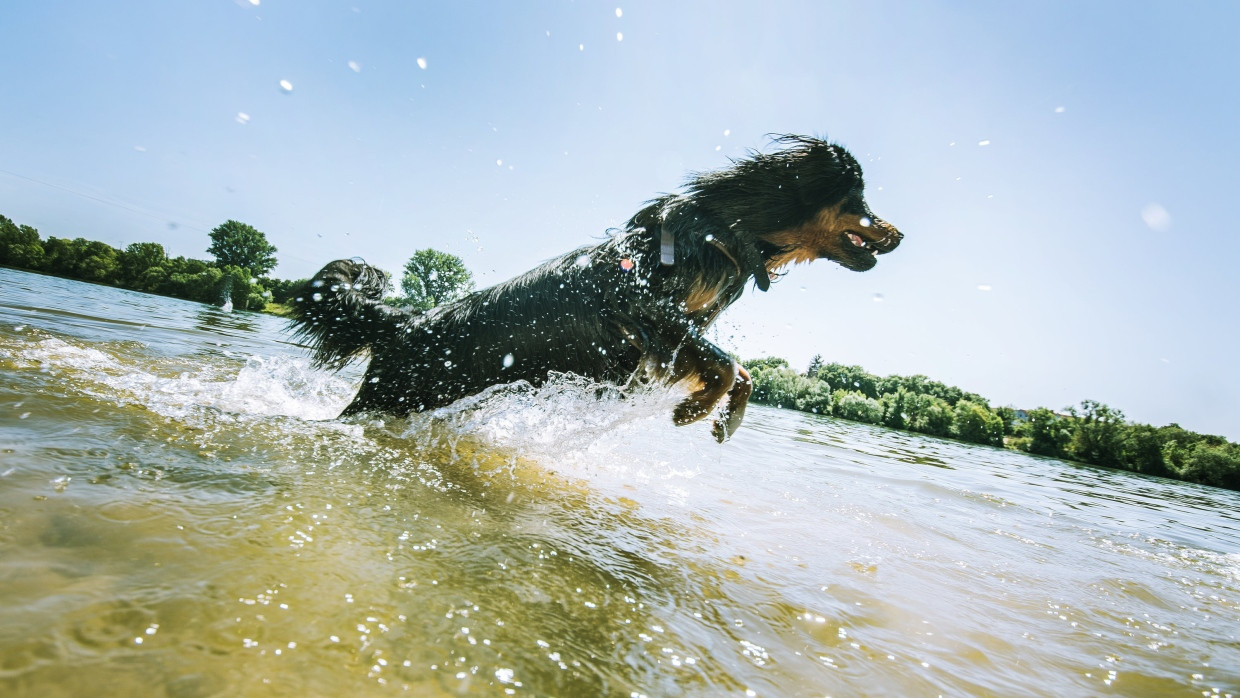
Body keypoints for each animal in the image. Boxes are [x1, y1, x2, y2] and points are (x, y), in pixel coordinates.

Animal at [295, 135, 907, 441]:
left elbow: (741, 370)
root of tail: (404, 320)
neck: (720, 231)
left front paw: (723, 416)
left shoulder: (673, 332)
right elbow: (728, 361)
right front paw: (696, 410)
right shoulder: (643, 311)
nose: (900, 236)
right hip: (390, 397)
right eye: (859, 198)